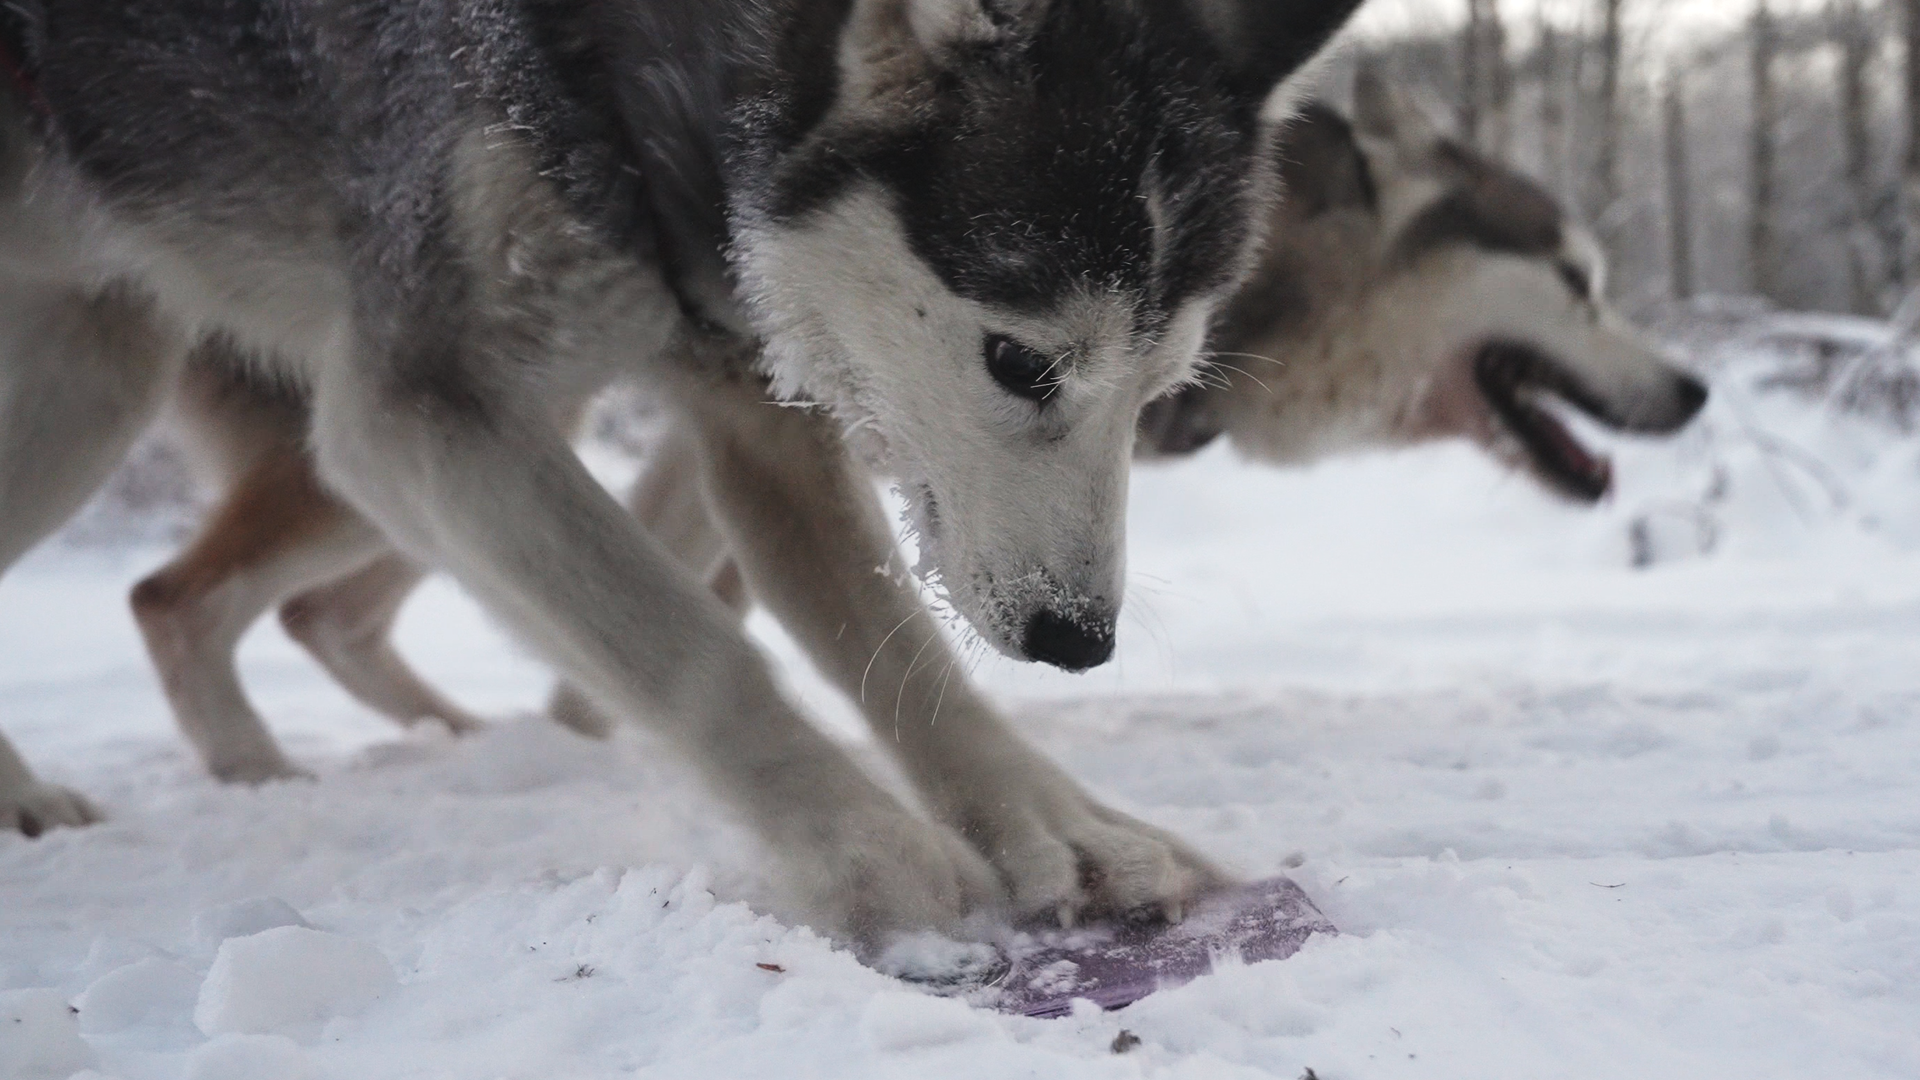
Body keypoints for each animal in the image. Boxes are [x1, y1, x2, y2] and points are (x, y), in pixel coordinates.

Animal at [0, 0, 1367, 930]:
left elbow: (908, 661)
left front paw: (1055, 826)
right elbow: (686, 642)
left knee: (181, 596)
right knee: (185, 596)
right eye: (1019, 361)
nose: (1080, 641)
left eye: (1162, 385)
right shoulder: (425, 412)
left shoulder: (761, 402)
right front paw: (863, 849)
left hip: (94, 388)